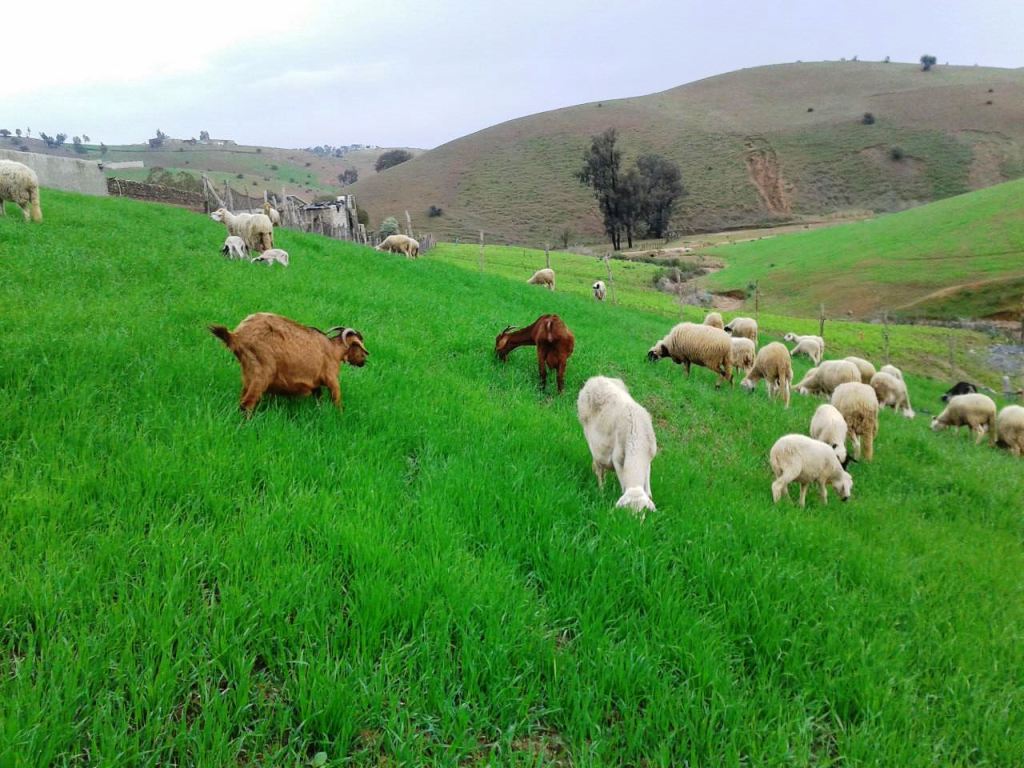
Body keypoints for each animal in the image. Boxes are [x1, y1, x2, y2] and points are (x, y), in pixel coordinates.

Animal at [209, 313, 368, 417]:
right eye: (359, 345)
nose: (364, 361)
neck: (333, 349)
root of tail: (237, 336)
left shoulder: (315, 384)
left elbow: (319, 398)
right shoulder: (331, 378)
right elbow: (336, 398)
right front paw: (340, 415)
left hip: (248, 374)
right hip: (262, 373)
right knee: (247, 404)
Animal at [577, 376, 658, 516]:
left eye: (642, 511)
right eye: (628, 510)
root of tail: (595, 379)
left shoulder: (649, 458)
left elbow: (647, 490)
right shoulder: (618, 460)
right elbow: (623, 485)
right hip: (589, 436)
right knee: (599, 468)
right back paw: (601, 489)